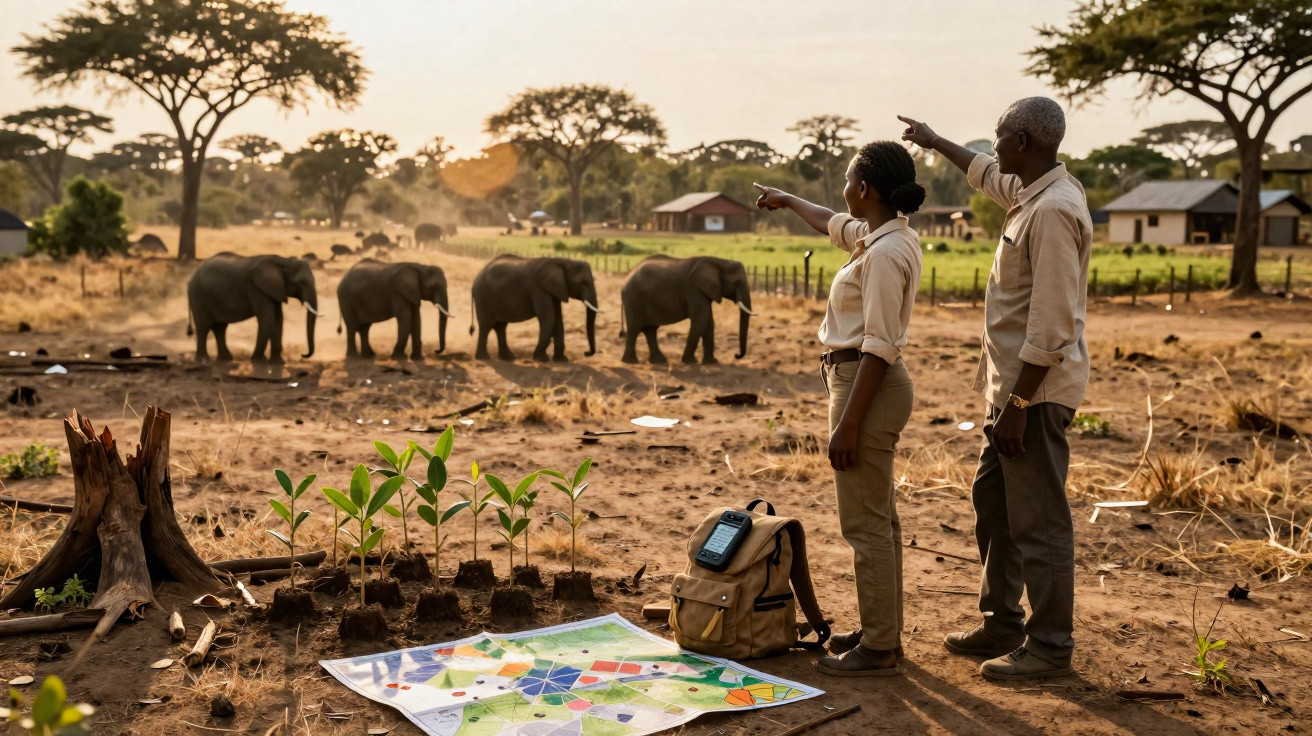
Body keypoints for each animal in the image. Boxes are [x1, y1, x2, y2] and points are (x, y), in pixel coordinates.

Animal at [187, 252, 319, 364]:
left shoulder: (275, 289)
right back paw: (203, 361)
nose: (303, 355)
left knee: (220, 328)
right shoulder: (256, 288)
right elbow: (267, 317)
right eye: (301, 283)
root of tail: (190, 279)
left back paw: (226, 359)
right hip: (199, 296)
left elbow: (278, 318)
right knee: (203, 327)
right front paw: (257, 360)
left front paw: (278, 363)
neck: (284, 261)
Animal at [470, 255, 599, 361]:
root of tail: (474, 281)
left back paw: (508, 358)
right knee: (486, 326)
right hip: (483, 297)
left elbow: (557, 319)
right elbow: (548, 318)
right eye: (582, 282)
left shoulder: (555, 289)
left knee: (501, 327)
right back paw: (484, 358)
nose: (586, 353)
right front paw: (541, 359)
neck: (561, 261)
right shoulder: (538, 288)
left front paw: (562, 360)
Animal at [620, 255, 754, 365]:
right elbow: (701, 319)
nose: (736, 355)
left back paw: (659, 362)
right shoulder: (693, 289)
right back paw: (631, 362)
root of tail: (626, 277)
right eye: (736, 282)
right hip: (633, 300)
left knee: (650, 330)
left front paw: (712, 362)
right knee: (634, 329)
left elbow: (709, 321)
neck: (718, 261)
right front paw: (690, 362)